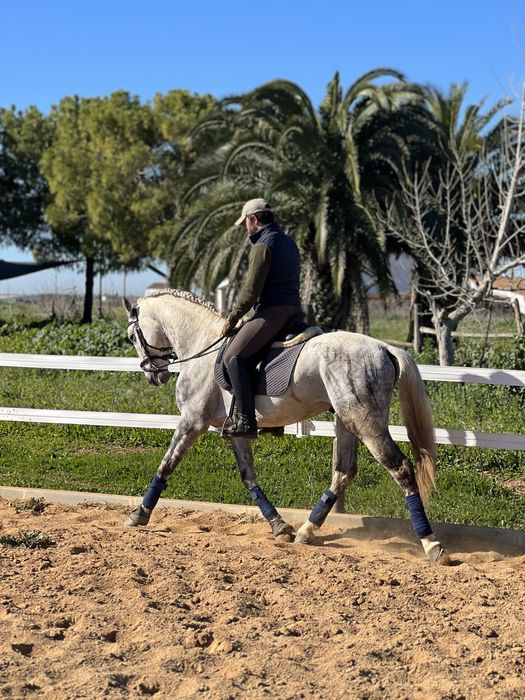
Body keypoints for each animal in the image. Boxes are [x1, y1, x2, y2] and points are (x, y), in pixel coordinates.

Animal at [123, 289, 446, 563]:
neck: (202, 344)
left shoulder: (192, 421)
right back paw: (306, 531)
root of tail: (384, 348)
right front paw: (279, 527)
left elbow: (166, 465)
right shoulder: (236, 431)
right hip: (346, 420)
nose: (154, 375)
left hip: (366, 423)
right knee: (343, 472)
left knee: (400, 468)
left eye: (131, 337)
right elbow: (249, 478)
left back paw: (431, 544)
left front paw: (140, 513)